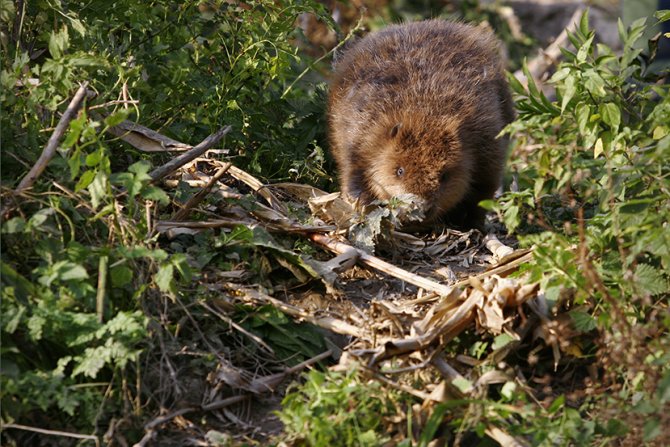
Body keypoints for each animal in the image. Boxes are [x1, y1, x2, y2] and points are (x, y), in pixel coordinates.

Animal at [328, 18, 516, 229]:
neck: (423, 110)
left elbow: (482, 190)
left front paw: (467, 222)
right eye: (399, 171)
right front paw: (363, 205)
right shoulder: (360, 133)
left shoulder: (487, 142)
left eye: (444, 176)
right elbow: (354, 171)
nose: (420, 208)